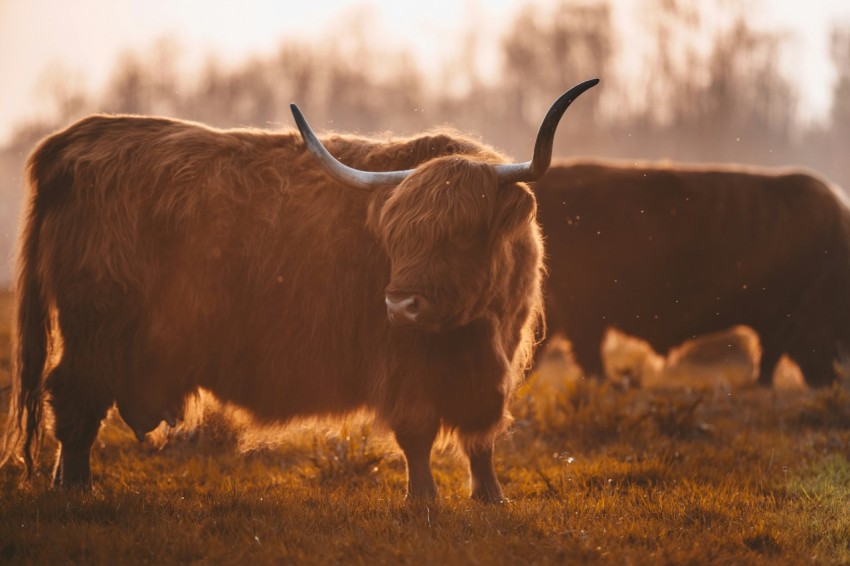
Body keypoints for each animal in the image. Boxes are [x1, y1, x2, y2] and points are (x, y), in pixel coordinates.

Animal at [0, 80, 596, 502]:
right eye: (396, 236)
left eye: (463, 232)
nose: (400, 304)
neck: (472, 330)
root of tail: (78, 137)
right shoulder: (401, 363)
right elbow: (417, 431)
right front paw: (422, 500)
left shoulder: (497, 362)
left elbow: (481, 437)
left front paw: (491, 497)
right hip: (94, 329)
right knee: (72, 399)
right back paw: (75, 486)